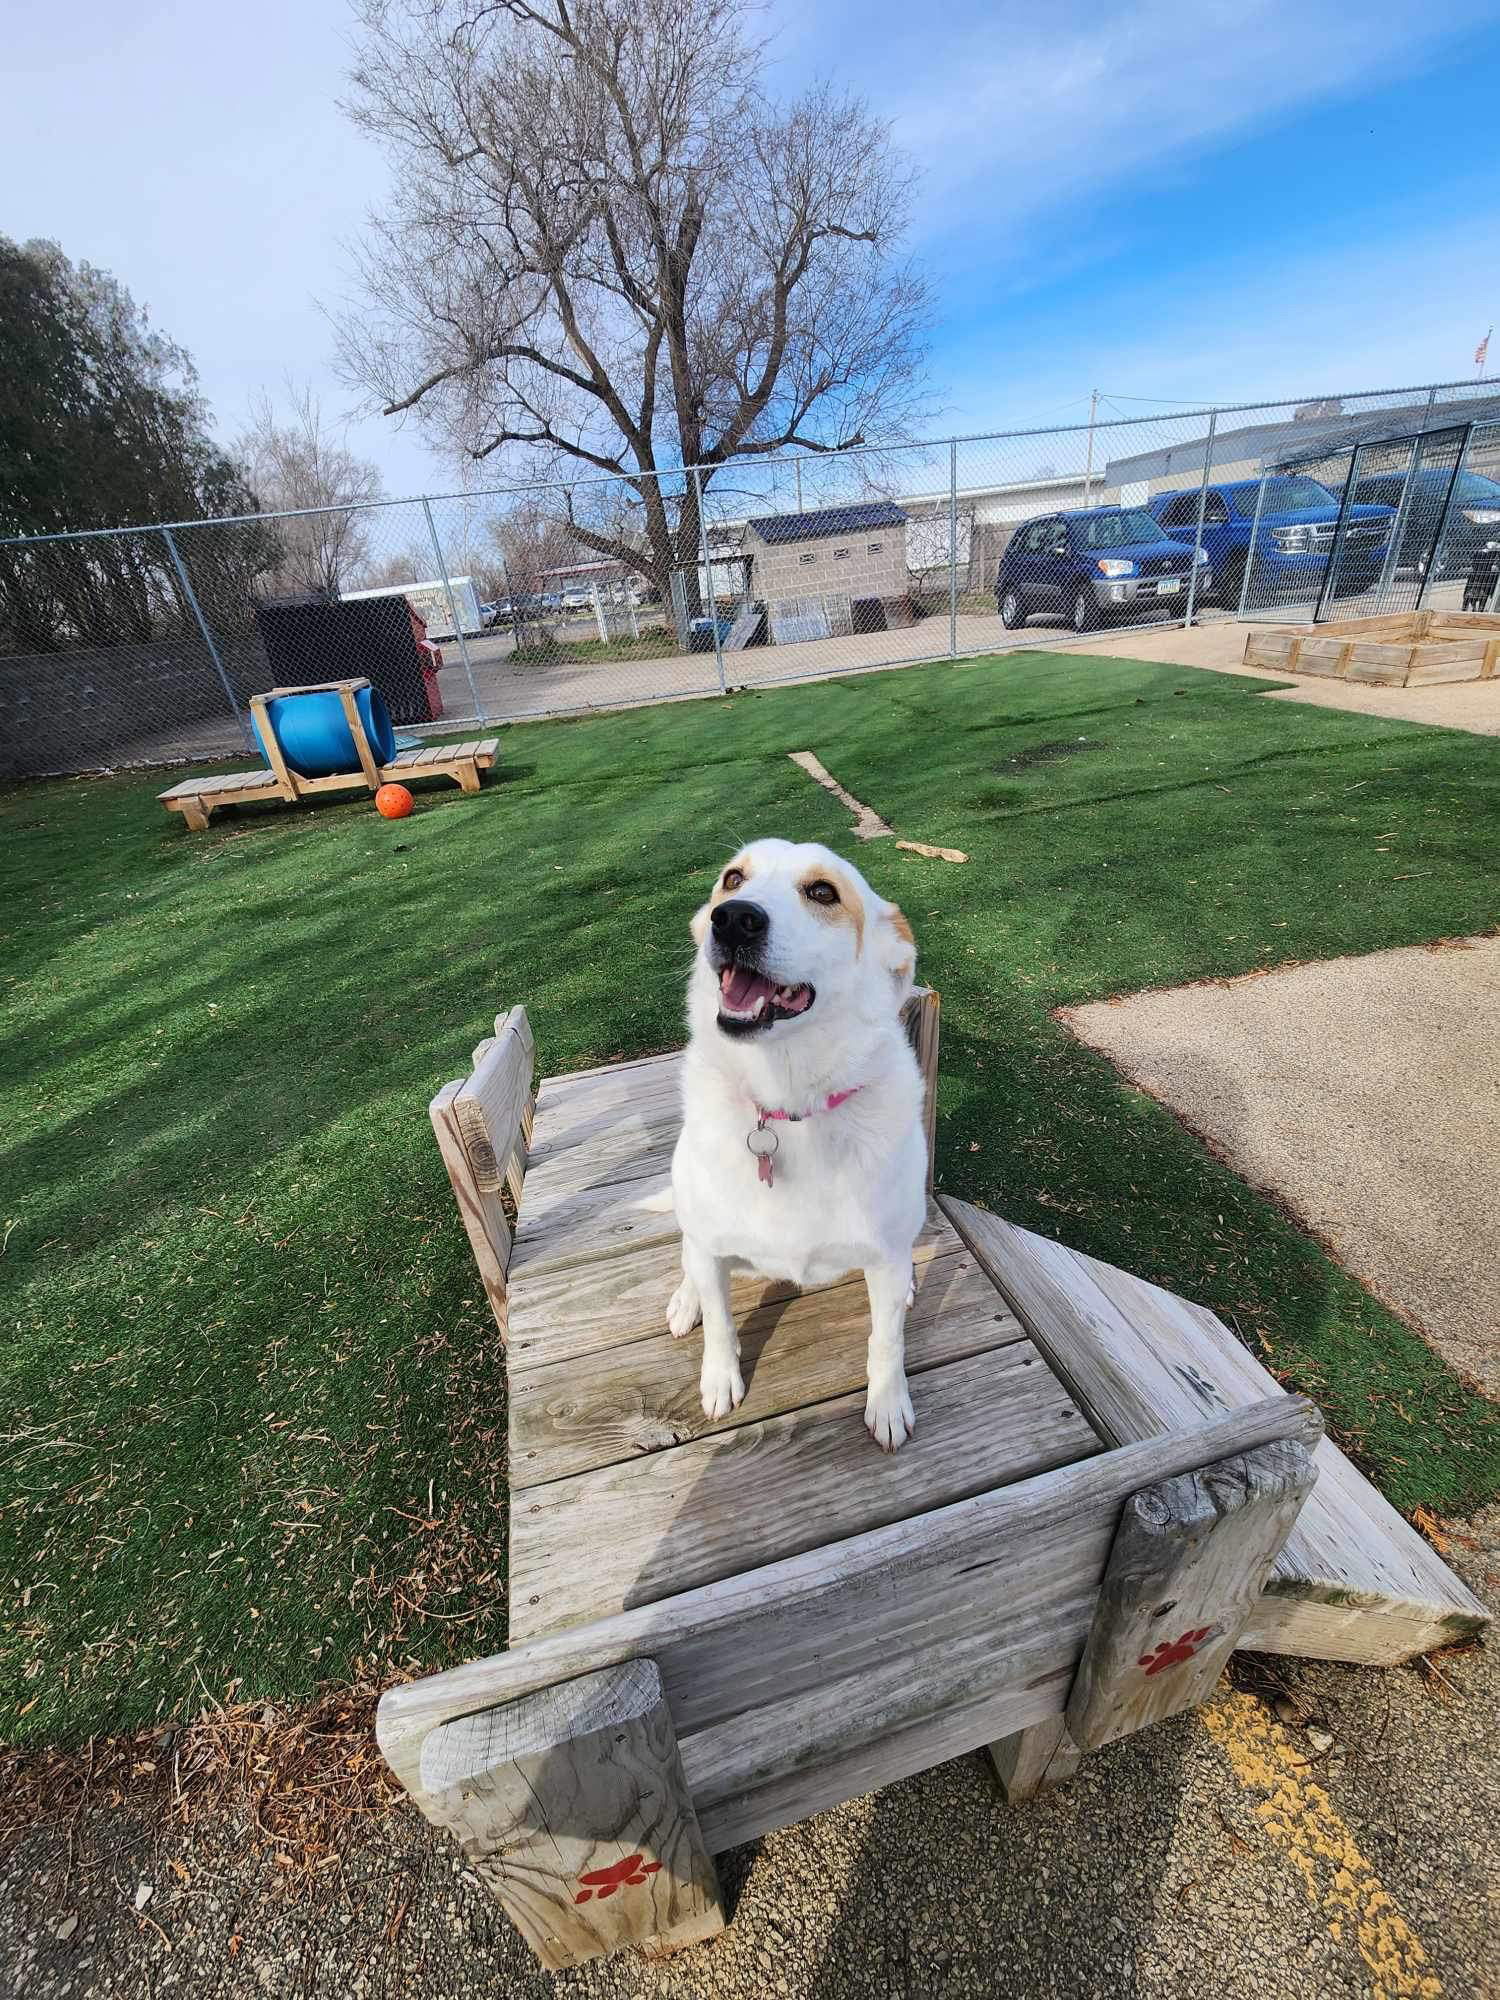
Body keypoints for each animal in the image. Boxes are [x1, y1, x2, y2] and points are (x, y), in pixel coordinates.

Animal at [668, 836, 928, 1448]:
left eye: (823, 892)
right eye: (732, 879)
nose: (733, 919)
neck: (789, 1109)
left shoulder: (884, 1255)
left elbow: (887, 1341)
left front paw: (887, 1403)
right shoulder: (711, 1244)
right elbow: (720, 1323)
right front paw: (720, 1378)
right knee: (688, 1256)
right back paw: (686, 1298)